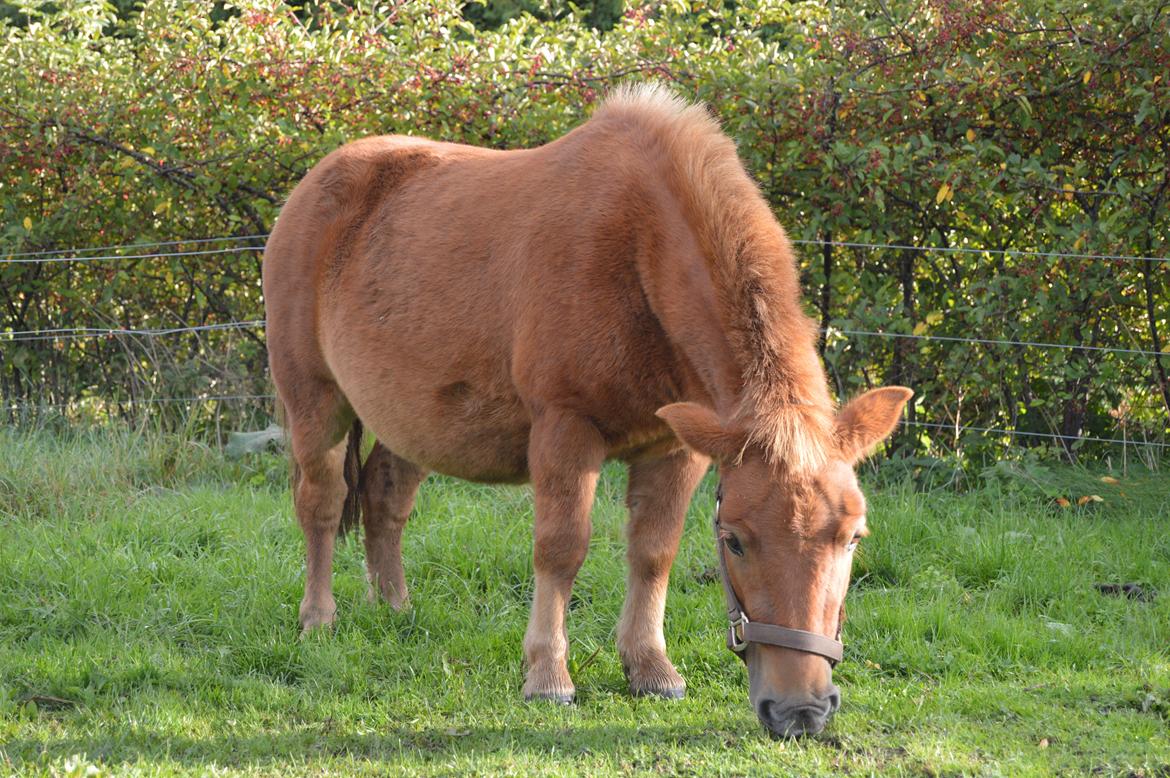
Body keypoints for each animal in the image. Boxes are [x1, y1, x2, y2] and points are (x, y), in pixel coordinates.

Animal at [265, 81, 912, 739]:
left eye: (853, 537)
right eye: (733, 541)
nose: (801, 710)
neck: (635, 246)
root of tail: (312, 187)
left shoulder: (675, 447)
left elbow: (654, 551)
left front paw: (650, 668)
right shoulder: (565, 429)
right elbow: (561, 548)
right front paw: (548, 676)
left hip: (411, 422)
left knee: (384, 499)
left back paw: (395, 610)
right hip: (314, 402)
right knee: (322, 506)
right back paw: (318, 619)